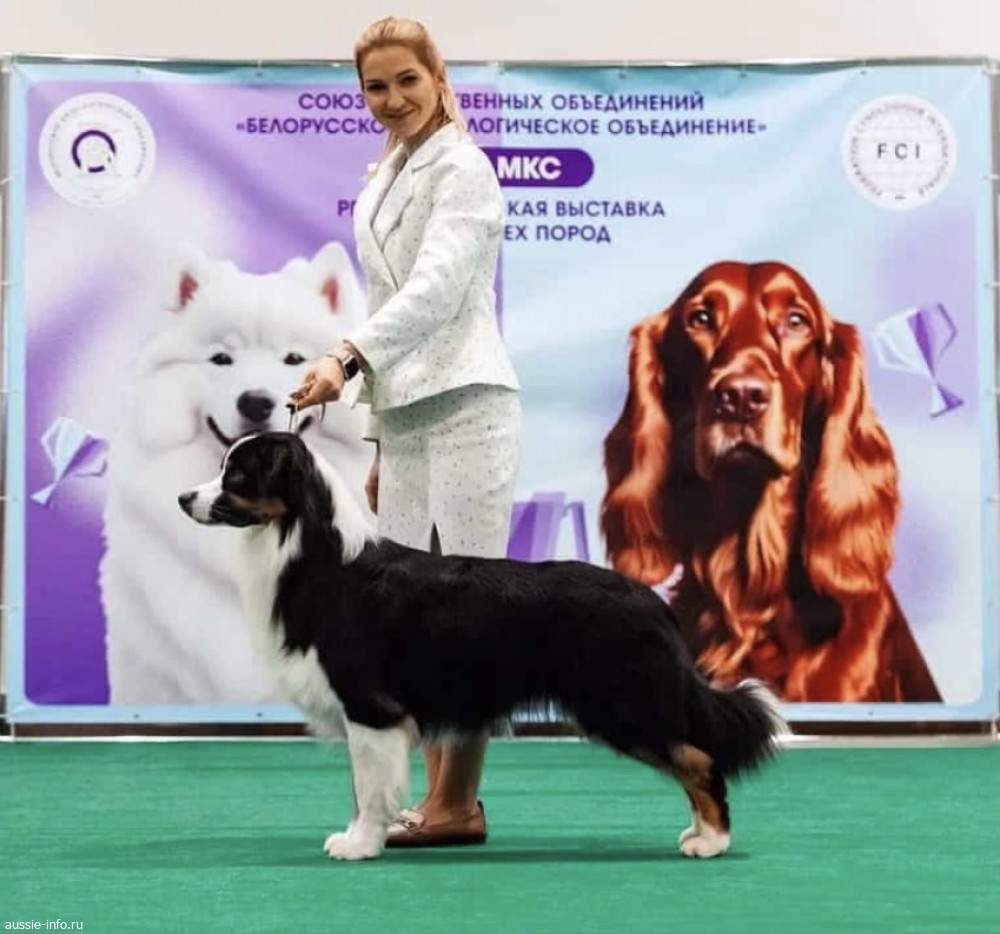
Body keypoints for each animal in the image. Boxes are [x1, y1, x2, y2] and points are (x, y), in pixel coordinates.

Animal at [178, 431, 786, 861]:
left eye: (237, 473)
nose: (184, 497)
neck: (315, 551)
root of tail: (654, 603)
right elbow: (362, 784)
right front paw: (354, 837)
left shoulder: (370, 705)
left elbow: (369, 786)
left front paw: (361, 845)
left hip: (623, 704)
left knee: (699, 759)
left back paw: (711, 840)